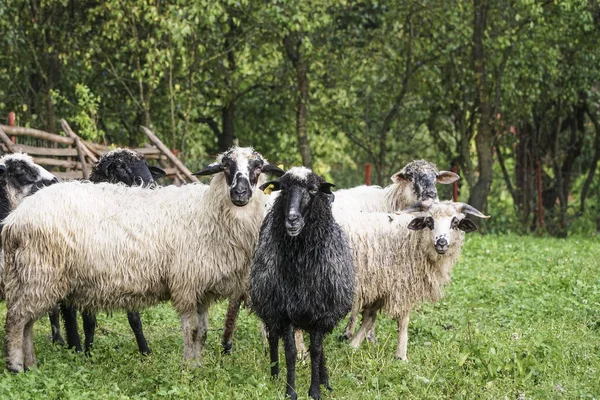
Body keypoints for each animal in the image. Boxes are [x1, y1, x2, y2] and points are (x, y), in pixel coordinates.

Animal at [1, 147, 282, 372]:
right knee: (16, 319)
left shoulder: (201, 288)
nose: (240, 193)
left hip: (32, 277)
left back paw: (31, 365)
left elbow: (201, 333)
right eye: (226, 167)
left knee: (26, 322)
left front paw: (198, 366)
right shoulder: (186, 284)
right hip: (40, 273)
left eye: (258, 167)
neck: (209, 212)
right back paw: (16, 367)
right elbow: (191, 331)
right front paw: (189, 368)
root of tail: (15, 219)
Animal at [250, 166, 354, 400]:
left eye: (313, 189)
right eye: (284, 189)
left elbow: (316, 351)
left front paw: (315, 390)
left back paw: (325, 381)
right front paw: (290, 391)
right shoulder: (283, 310)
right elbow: (290, 352)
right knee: (272, 337)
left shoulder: (321, 311)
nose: (292, 219)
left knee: (320, 348)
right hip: (269, 305)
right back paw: (274, 374)